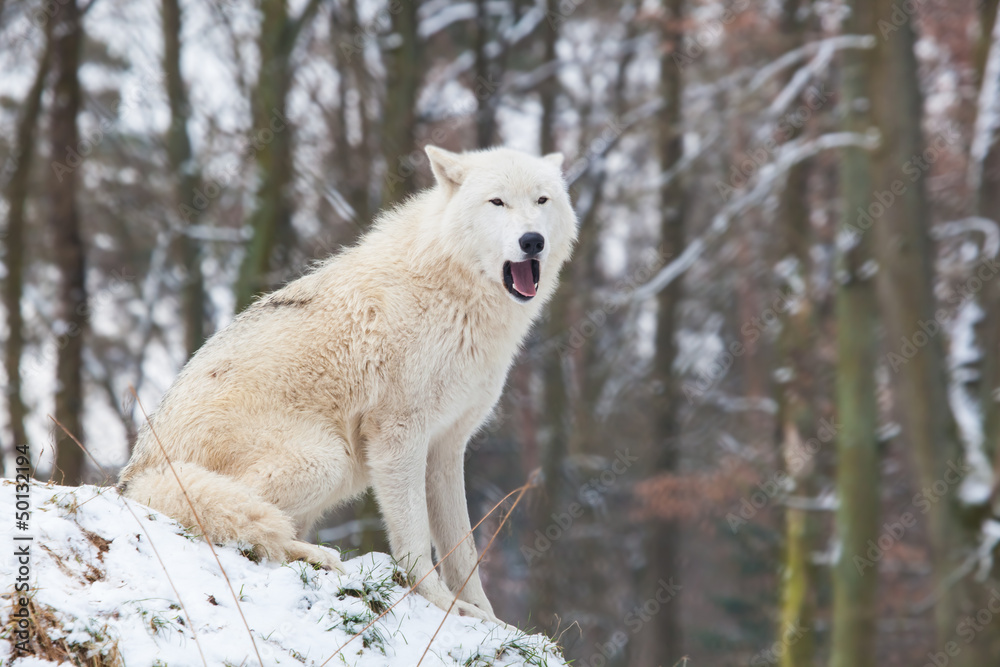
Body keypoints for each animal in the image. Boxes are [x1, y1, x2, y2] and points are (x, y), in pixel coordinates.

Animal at [118, 146, 577, 623]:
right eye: (497, 202)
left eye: (541, 200)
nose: (532, 241)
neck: (452, 294)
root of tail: (133, 477)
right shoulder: (398, 436)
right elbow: (415, 542)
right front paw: (438, 603)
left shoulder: (447, 445)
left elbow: (462, 548)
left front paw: (483, 615)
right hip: (327, 460)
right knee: (246, 520)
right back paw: (315, 554)